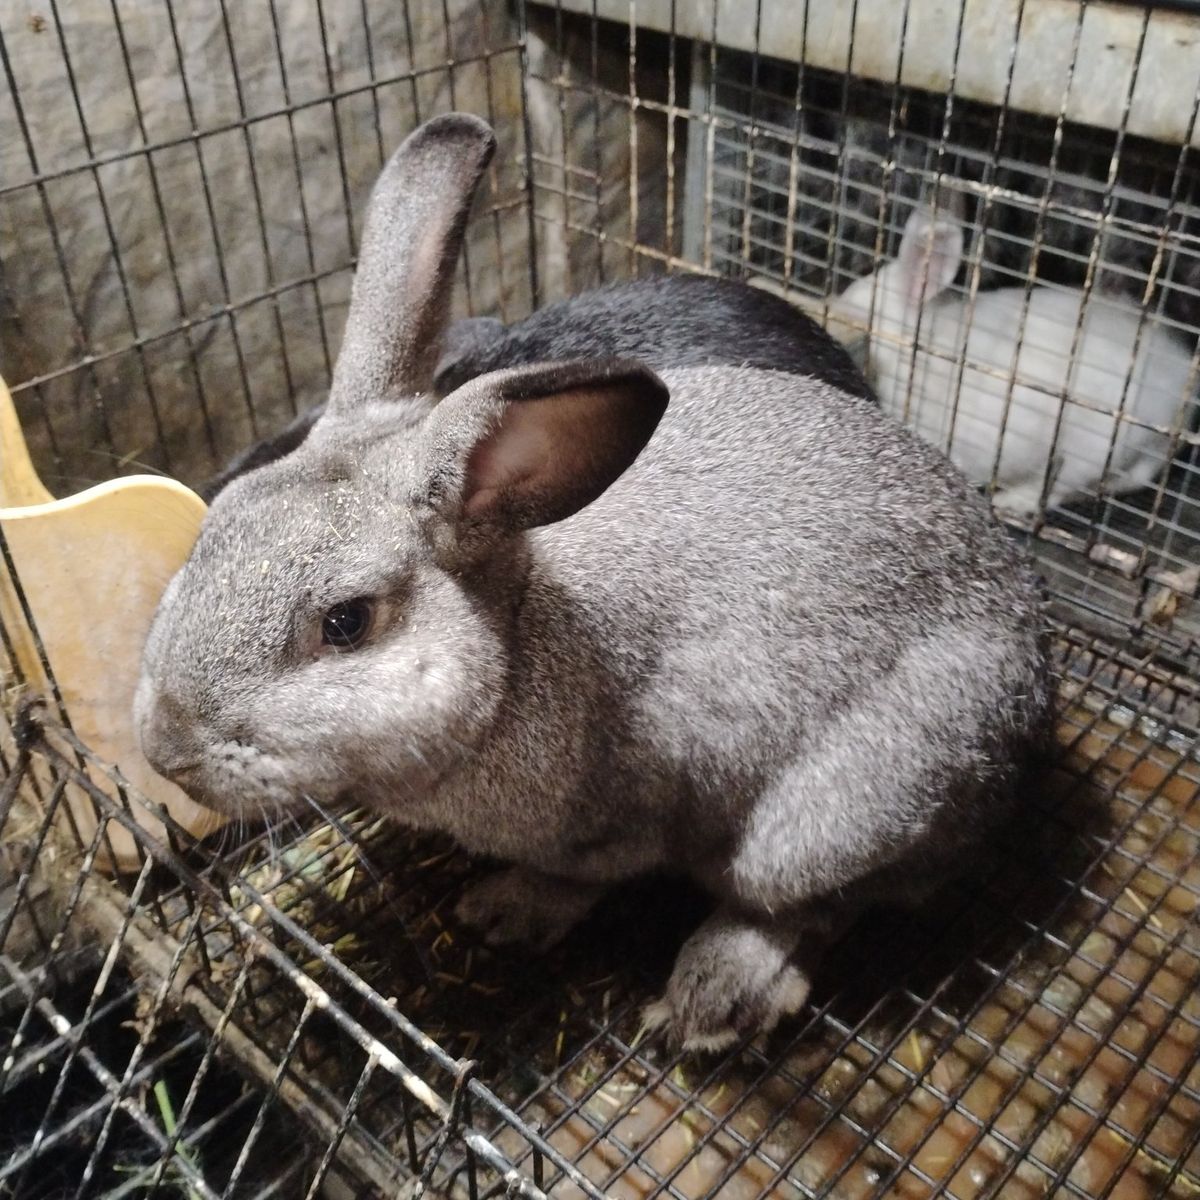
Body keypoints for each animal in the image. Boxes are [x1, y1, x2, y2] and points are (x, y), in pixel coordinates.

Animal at [136, 113, 1049, 1053]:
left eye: (347, 621)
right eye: (211, 531)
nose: (164, 749)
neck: (519, 643)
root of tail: (1031, 695)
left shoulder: (618, 826)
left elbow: (578, 880)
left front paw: (501, 914)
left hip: (834, 818)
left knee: (819, 903)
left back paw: (716, 997)